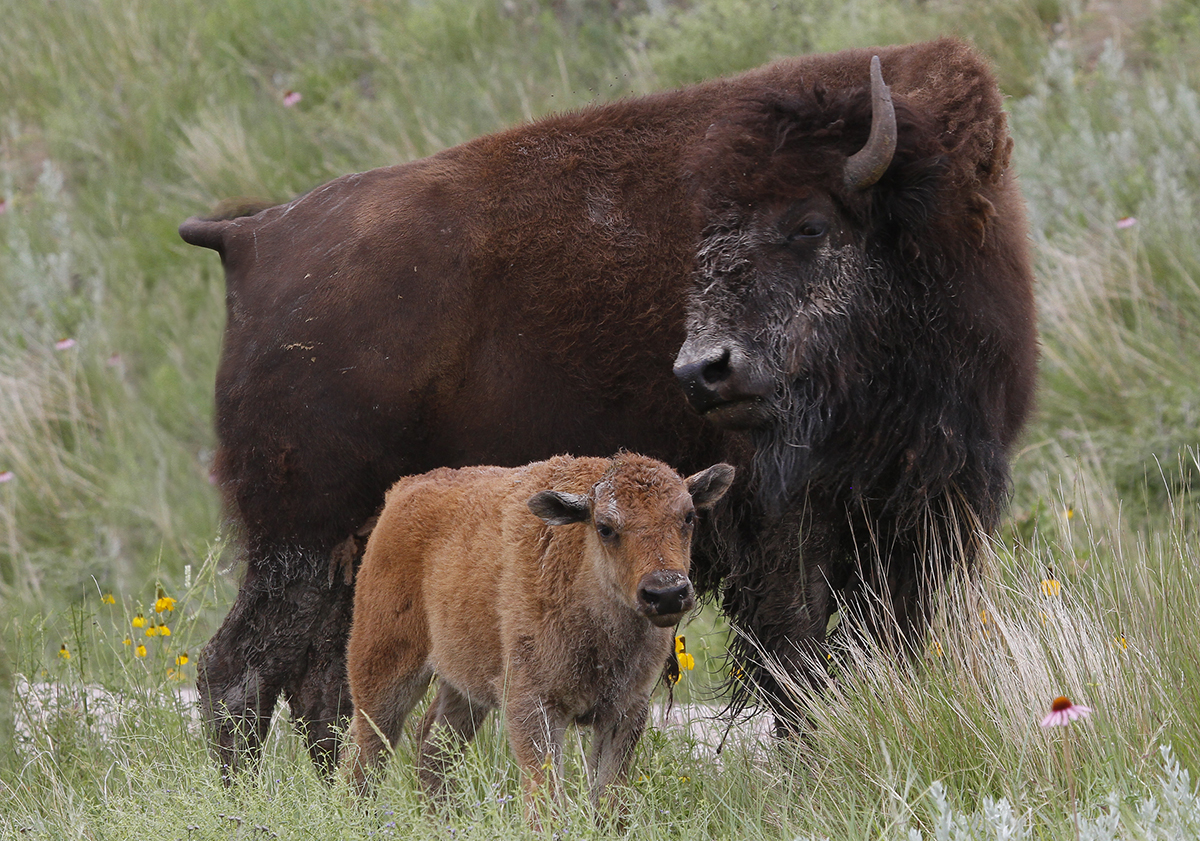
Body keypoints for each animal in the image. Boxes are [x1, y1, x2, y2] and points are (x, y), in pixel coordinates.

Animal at [180, 37, 1041, 772]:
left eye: (808, 223)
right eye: (705, 238)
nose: (703, 370)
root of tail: (254, 236)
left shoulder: (931, 508)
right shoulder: (790, 523)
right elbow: (795, 660)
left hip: (348, 549)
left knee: (320, 681)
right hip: (300, 533)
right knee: (241, 670)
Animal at [338, 453, 729, 815]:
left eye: (688, 516)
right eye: (604, 527)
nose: (667, 592)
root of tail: (402, 491)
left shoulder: (625, 710)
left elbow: (608, 798)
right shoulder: (533, 706)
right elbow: (546, 797)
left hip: (464, 685)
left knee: (433, 745)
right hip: (383, 669)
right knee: (367, 748)